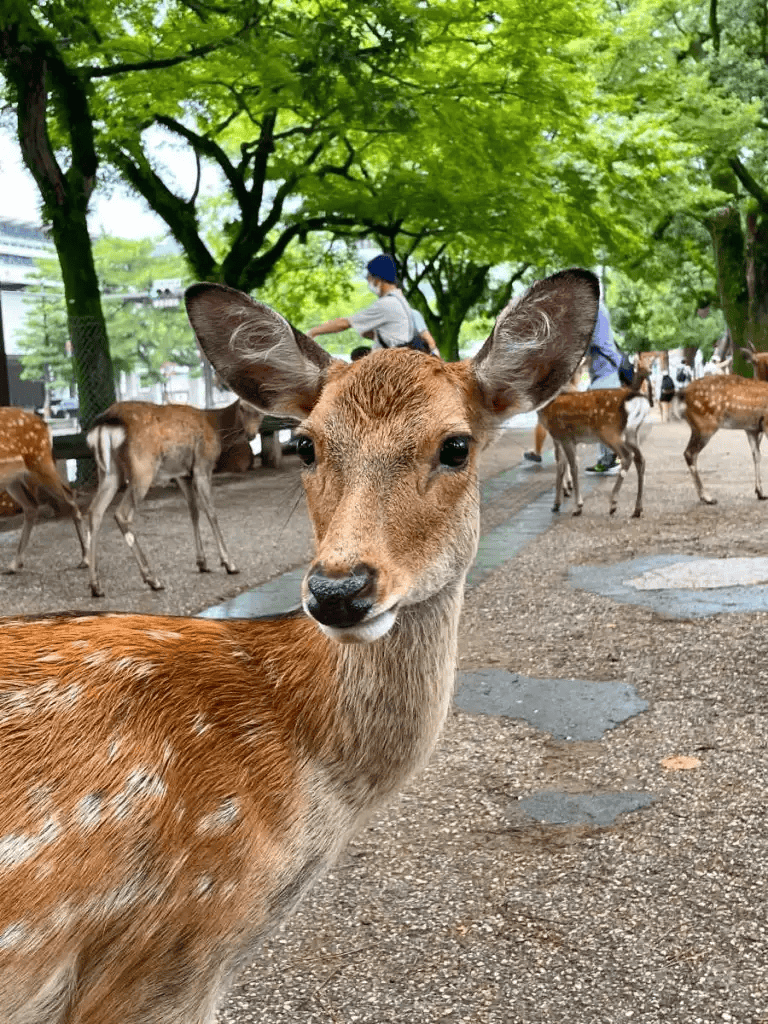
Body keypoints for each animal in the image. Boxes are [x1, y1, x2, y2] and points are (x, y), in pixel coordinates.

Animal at [0, 406, 88, 573]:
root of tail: (46, 425)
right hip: (14, 478)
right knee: (31, 506)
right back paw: (15, 563)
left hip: (41, 461)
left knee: (69, 495)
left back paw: (85, 559)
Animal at [85, 400, 253, 597]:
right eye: (243, 407)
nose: (251, 434)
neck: (216, 426)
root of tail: (103, 425)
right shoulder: (203, 465)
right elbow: (211, 512)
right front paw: (229, 564)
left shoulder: (182, 474)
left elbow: (194, 510)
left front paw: (202, 563)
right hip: (143, 469)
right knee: (121, 514)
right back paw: (152, 579)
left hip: (109, 473)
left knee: (94, 511)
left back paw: (96, 586)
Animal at [537, 358, 653, 518]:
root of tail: (636, 399)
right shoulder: (558, 438)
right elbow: (560, 466)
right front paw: (556, 504)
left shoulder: (565, 436)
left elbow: (573, 466)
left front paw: (577, 507)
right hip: (631, 433)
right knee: (640, 459)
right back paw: (637, 509)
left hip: (608, 431)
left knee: (627, 456)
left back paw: (613, 503)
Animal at [679, 373, 768, 504]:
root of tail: (683, 393)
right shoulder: (766, 424)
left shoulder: (752, 429)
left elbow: (756, 455)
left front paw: (760, 492)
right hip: (705, 425)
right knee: (690, 453)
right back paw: (707, 497)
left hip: (696, 427)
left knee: (689, 452)